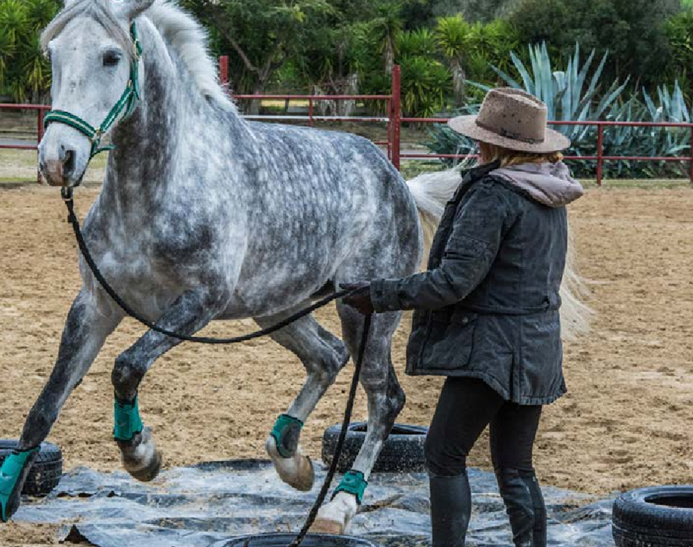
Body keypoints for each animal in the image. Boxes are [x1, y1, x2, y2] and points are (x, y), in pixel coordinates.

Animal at [0, 0, 588, 532]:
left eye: (111, 56)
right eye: (53, 53)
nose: (57, 159)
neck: (162, 185)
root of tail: (397, 180)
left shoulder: (198, 303)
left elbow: (127, 366)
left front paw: (140, 454)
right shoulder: (96, 304)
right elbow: (44, 408)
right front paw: (10, 492)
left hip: (365, 313)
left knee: (384, 398)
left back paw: (340, 503)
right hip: (277, 308)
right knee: (326, 358)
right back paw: (291, 459)